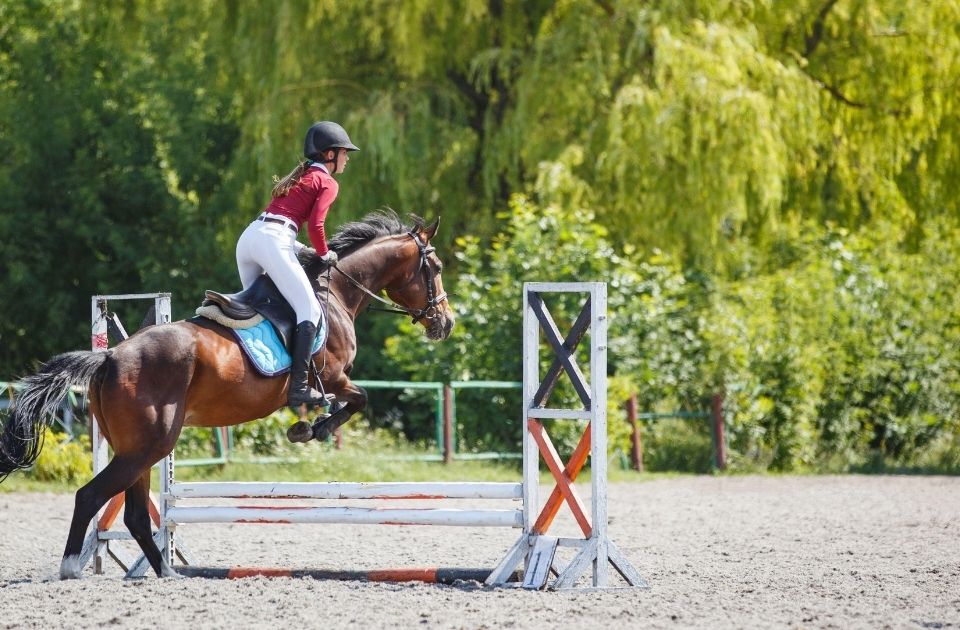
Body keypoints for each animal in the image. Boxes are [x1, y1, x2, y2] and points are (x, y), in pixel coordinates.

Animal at [0, 210, 455, 579]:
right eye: (434, 266)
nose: (445, 323)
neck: (337, 294)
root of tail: (110, 355)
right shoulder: (335, 376)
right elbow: (356, 400)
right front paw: (310, 429)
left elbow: (352, 403)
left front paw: (309, 427)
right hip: (148, 446)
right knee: (91, 496)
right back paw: (74, 567)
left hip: (139, 449)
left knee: (134, 514)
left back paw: (168, 572)